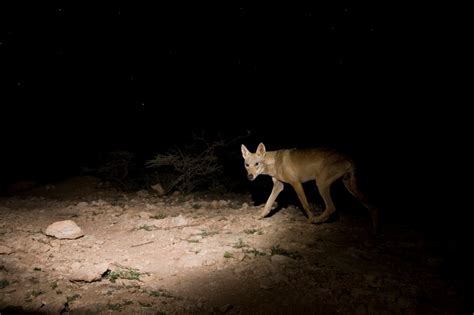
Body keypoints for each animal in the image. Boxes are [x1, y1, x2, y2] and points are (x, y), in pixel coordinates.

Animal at [241, 143, 378, 232]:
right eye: (247, 165)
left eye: (257, 164)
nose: (250, 176)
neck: (274, 162)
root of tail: (347, 156)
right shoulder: (279, 186)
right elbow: (268, 204)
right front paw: (260, 216)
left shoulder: (296, 183)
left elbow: (305, 205)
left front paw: (311, 219)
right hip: (349, 187)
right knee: (371, 206)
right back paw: (375, 229)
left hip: (321, 185)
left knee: (331, 208)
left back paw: (316, 220)